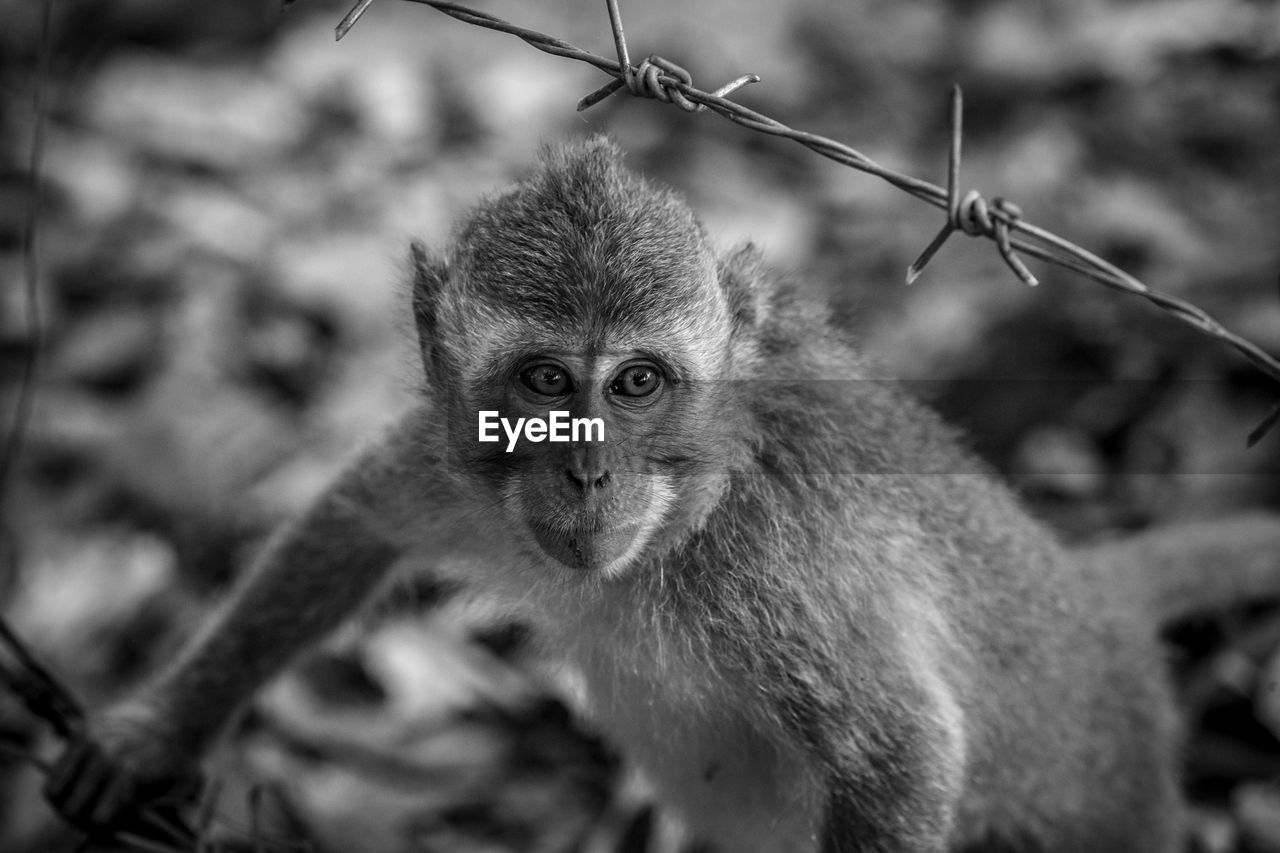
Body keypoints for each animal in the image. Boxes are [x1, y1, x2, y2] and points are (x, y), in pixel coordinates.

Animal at [45, 137, 1280, 850]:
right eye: (546, 383)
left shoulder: (773, 574)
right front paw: (155, 732)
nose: (588, 466)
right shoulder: (452, 464)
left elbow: (898, 754)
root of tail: (1095, 599)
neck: (685, 516)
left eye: (636, 382)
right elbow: (348, 525)